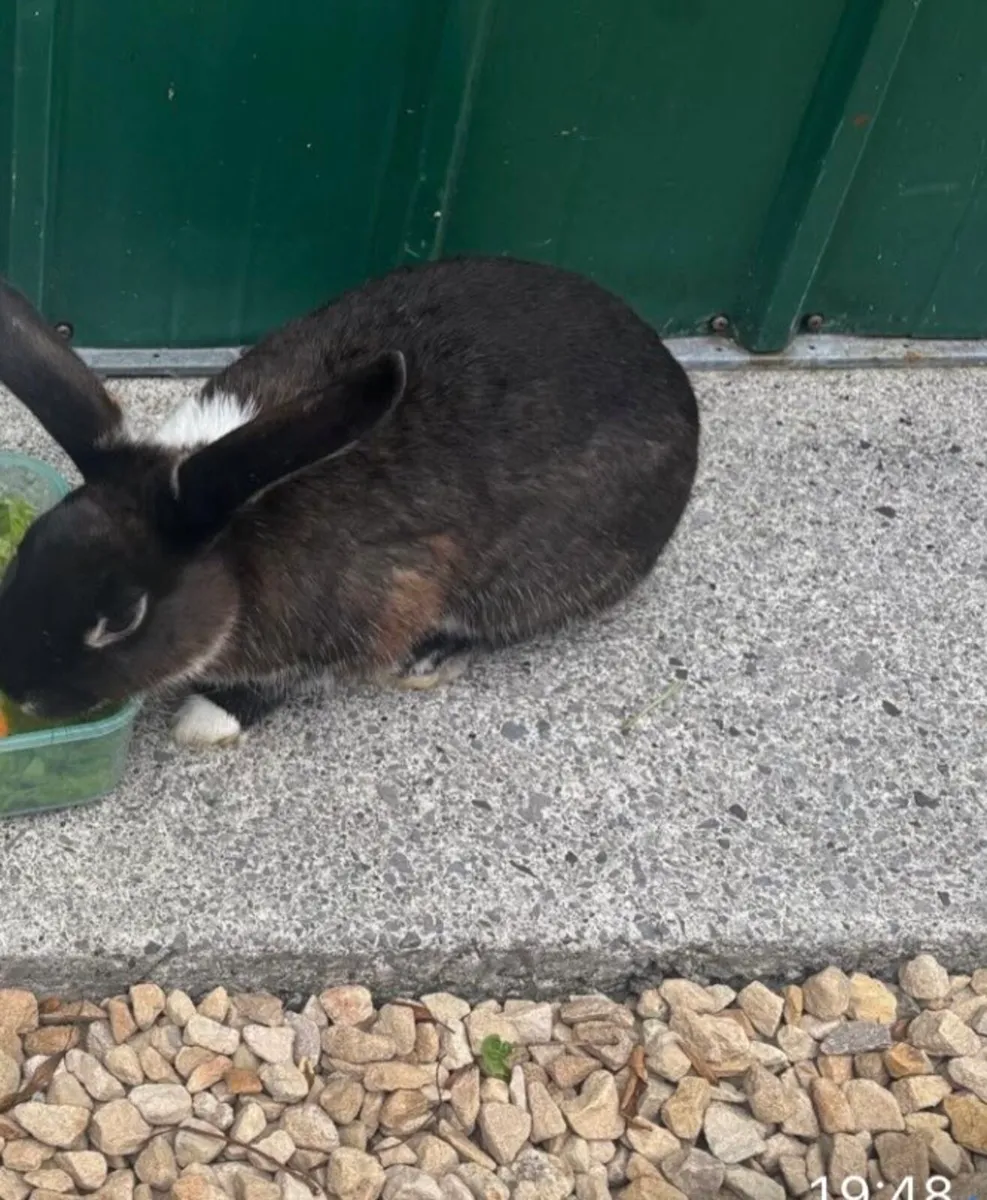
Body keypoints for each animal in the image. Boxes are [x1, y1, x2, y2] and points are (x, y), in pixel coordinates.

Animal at [0, 256, 699, 747]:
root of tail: (675, 384)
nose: (20, 688)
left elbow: (295, 678)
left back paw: (430, 658)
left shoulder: (378, 607)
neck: (238, 537)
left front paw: (205, 720)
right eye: (24, 551)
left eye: (123, 619)